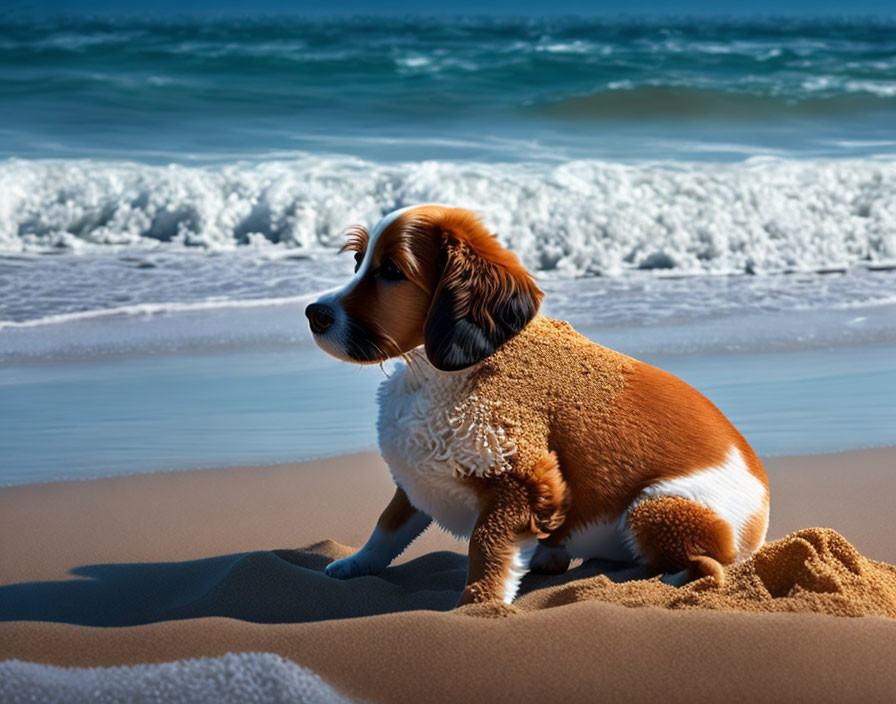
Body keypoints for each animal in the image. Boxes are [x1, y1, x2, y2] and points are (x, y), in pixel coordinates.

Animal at [304, 204, 768, 604]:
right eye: (358, 260)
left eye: (391, 271)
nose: (313, 313)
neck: (444, 372)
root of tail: (761, 513)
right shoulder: (417, 475)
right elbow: (388, 526)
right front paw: (354, 564)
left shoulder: (524, 481)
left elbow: (487, 547)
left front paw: (478, 606)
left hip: (657, 508)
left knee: (710, 566)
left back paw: (659, 582)